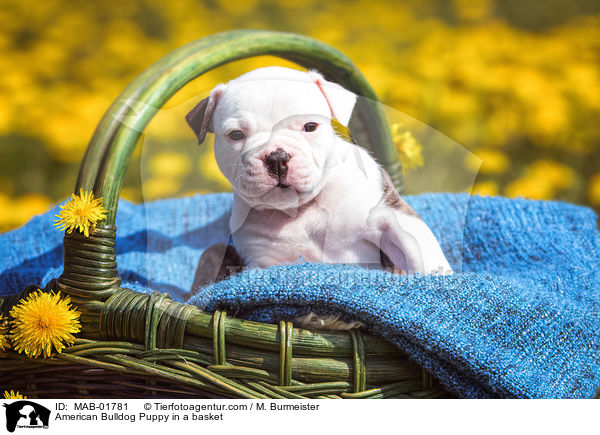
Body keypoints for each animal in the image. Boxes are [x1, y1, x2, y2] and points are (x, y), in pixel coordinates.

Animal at [185, 66, 452, 328]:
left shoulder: (391, 217)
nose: (277, 157)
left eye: (310, 126)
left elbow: (421, 254)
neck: (301, 209)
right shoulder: (262, 257)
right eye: (236, 135)